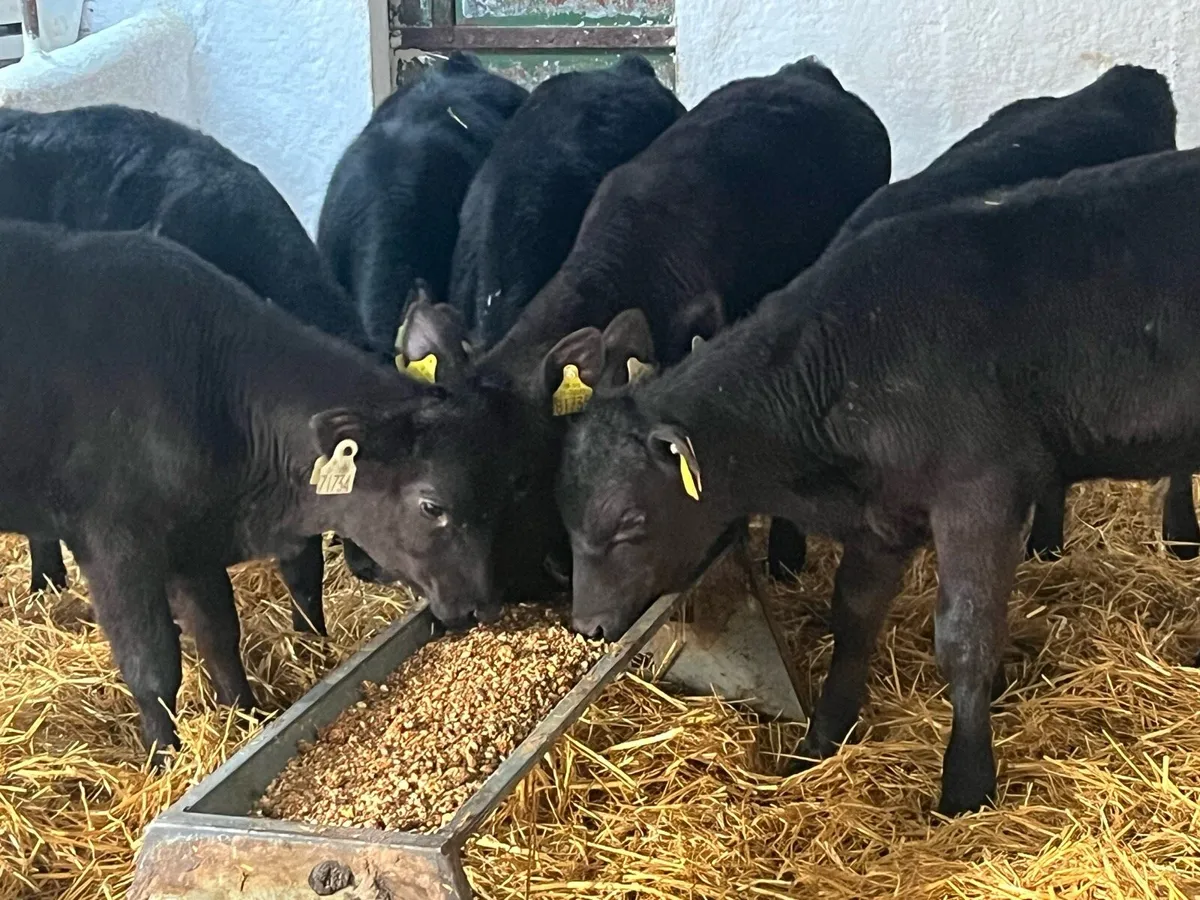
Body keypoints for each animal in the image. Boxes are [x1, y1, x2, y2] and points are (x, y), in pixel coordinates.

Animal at [0, 221, 507, 759]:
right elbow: (151, 665)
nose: (484, 605)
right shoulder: (115, 547)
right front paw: (164, 760)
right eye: (432, 506)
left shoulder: (193, 542)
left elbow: (220, 636)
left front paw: (248, 720)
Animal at [557, 146, 1200, 816]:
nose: (587, 624)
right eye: (565, 514)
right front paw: (820, 739)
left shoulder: (980, 496)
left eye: (629, 522)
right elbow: (854, 615)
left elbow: (966, 637)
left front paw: (966, 784)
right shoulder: (883, 517)